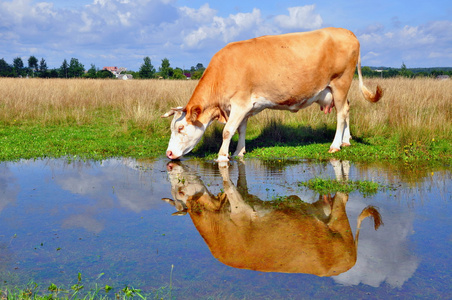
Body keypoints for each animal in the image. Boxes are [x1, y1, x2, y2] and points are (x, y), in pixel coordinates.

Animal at [162, 27, 382, 162]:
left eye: (180, 128)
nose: (169, 153)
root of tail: (346, 31)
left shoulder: (240, 104)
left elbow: (227, 131)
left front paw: (223, 156)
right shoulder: (245, 107)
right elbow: (241, 129)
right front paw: (239, 151)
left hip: (340, 82)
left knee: (341, 113)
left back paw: (335, 145)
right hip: (336, 90)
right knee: (347, 108)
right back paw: (346, 140)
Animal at [162, 161, 382, 276]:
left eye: (180, 191)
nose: (170, 163)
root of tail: (352, 260)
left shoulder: (241, 209)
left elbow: (228, 185)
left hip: (341, 221)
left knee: (343, 195)